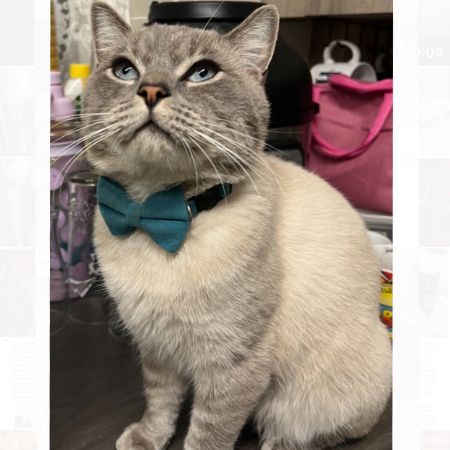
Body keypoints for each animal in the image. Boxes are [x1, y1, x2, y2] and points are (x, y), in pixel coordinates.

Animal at [82, 3, 392, 450]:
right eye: (125, 70)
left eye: (202, 73)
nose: (151, 90)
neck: (158, 210)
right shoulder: (157, 347)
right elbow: (160, 402)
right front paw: (147, 439)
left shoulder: (235, 362)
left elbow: (208, 433)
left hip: (314, 400)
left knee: (311, 430)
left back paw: (275, 440)